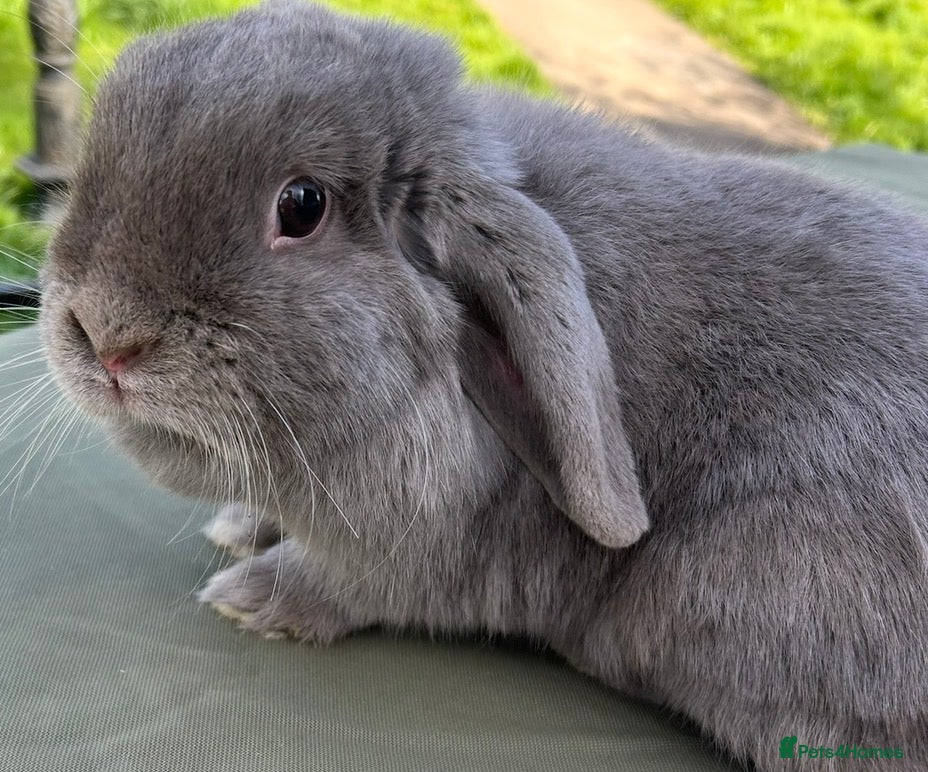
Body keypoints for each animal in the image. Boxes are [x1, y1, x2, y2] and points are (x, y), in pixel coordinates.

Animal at [38, 1, 928, 769]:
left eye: (302, 206)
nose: (107, 334)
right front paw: (239, 527)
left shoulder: (414, 553)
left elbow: (343, 584)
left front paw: (248, 597)